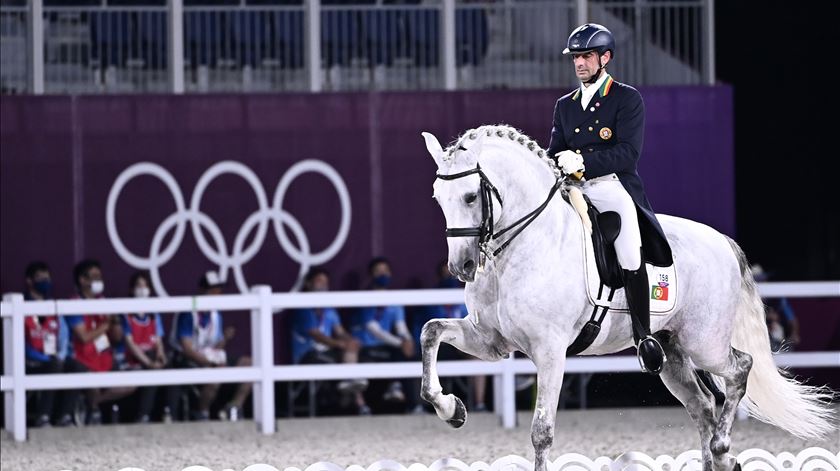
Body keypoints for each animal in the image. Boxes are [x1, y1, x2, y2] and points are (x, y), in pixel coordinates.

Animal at [418, 125, 832, 471]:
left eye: (471, 196)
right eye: (437, 197)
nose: (462, 266)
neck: (522, 247)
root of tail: (724, 241)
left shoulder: (549, 351)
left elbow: (541, 432)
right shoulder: (491, 343)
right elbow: (430, 332)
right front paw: (451, 409)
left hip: (705, 344)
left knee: (740, 369)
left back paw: (722, 449)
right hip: (671, 354)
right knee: (702, 407)